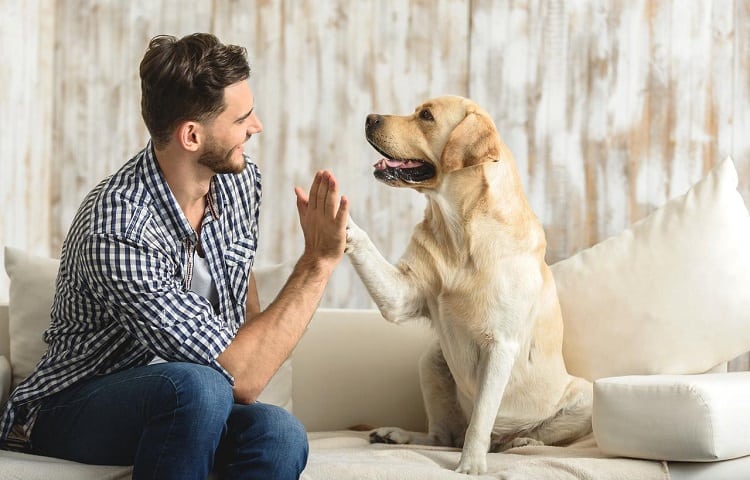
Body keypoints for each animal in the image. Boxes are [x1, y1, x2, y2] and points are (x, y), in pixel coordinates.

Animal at [346, 95, 592, 474]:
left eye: (426, 116)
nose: (370, 118)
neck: (459, 232)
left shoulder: (500, 346)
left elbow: (481, 420)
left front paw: (471, 465)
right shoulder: (401, 295)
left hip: (585, 397)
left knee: (515, 436)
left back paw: (519, 441)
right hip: (431, 361)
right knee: (442, 436)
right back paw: (396, 435)